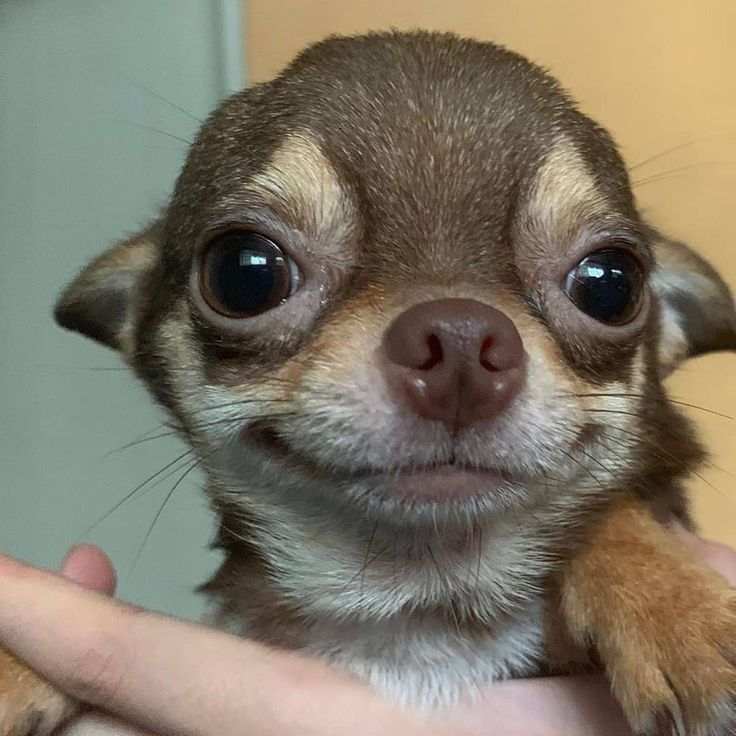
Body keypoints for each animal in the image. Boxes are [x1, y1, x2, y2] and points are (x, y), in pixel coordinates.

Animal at [1, 31, 736, 736]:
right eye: (245, 272)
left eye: (610, 283)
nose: (460, 340)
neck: (415, 606)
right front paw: (14, 669)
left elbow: (615, 511)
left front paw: (679, 612)